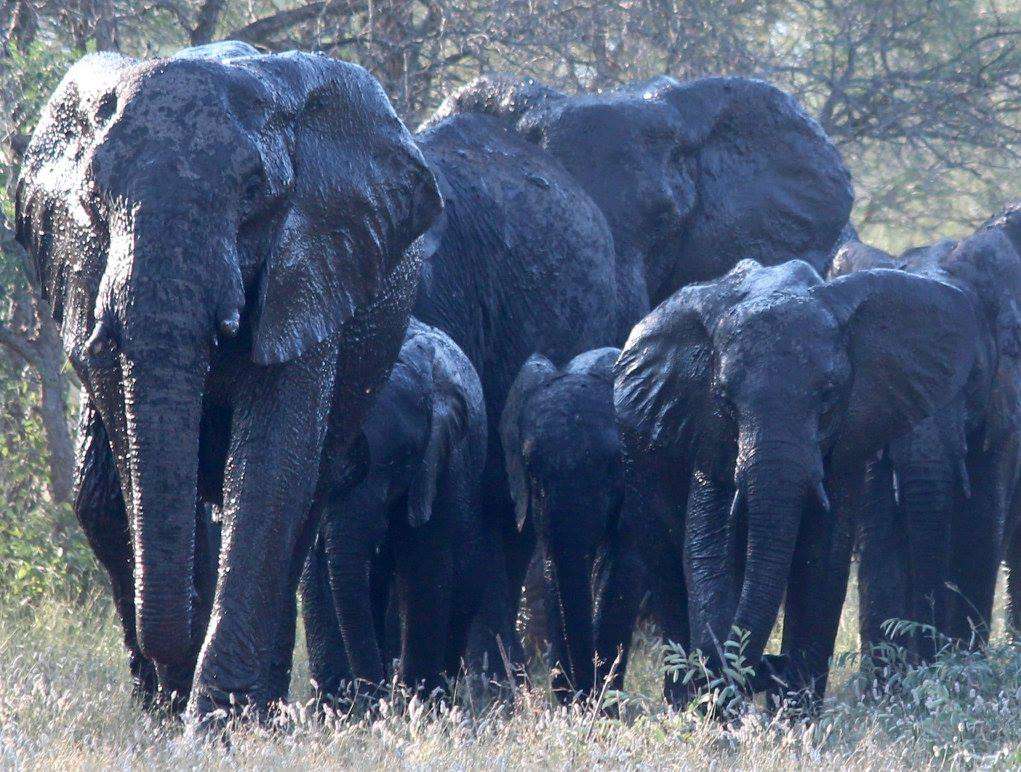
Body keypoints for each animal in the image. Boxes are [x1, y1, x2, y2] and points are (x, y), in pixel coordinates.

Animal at [300, 320, 496, 698]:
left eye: (401, 459)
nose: (374, 691)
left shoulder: (443, 466)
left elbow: (426, 568)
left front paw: (417, 699)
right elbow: (319, 574)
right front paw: (342, 702)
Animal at [496, 349, 633, 698]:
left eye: (613, 465)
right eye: (531, 469)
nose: (580, 692)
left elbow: (619, 569)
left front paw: (604, 698)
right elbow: (553, 570)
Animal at [604, 257, 980, 698]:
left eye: (829, 395)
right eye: (725, 399)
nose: (769, 667)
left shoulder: (843, 445)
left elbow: (823, 561)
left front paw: (792, 702)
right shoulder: (705, 430)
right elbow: (710, 551)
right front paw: (720, 701)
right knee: (667, 570)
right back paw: (684, 696)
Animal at [829, 202, 1021, 653]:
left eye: (971, 378)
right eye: (886, 377)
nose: (931, 648)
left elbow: (979, 530)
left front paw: (960, 664)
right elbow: (881, 534)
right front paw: (890, 670)